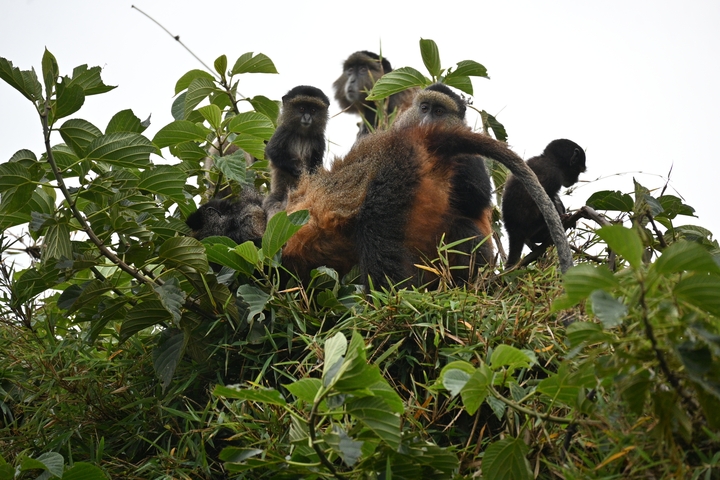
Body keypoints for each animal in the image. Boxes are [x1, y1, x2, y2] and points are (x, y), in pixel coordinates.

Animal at [263, 85, 330, 219]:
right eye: (302, 108)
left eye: (313, 110)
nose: (307, 117)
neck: (302, 134)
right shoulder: (283, 131)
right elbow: (272, 151)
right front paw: (296, 170)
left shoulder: (319, 140)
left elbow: (316, 165)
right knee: (273, 201)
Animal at [501, 139, 586, 267]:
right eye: (578, 170)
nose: (576, 180)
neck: (550, 160)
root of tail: (513, 231)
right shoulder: (553, 175)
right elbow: (548, 200)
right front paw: (564, 218)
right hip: (535, 229)